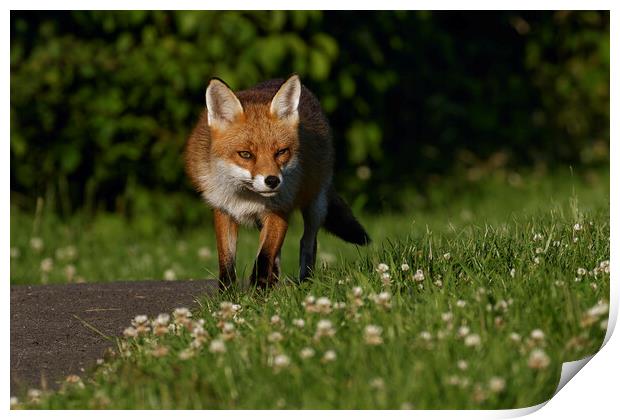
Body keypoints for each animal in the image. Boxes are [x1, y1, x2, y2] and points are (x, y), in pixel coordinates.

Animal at [184, 74, 368, 288]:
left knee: (308, 242)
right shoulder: (224, 211)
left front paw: (258, 291)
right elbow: (227, 261)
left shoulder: (280, 209)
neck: (246, 197)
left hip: (316, 206)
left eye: (281, 152)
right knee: (279, 253)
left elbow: (264, 256)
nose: (272, 181)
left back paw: (304, 280)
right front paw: (228, 293)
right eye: (245, 154)